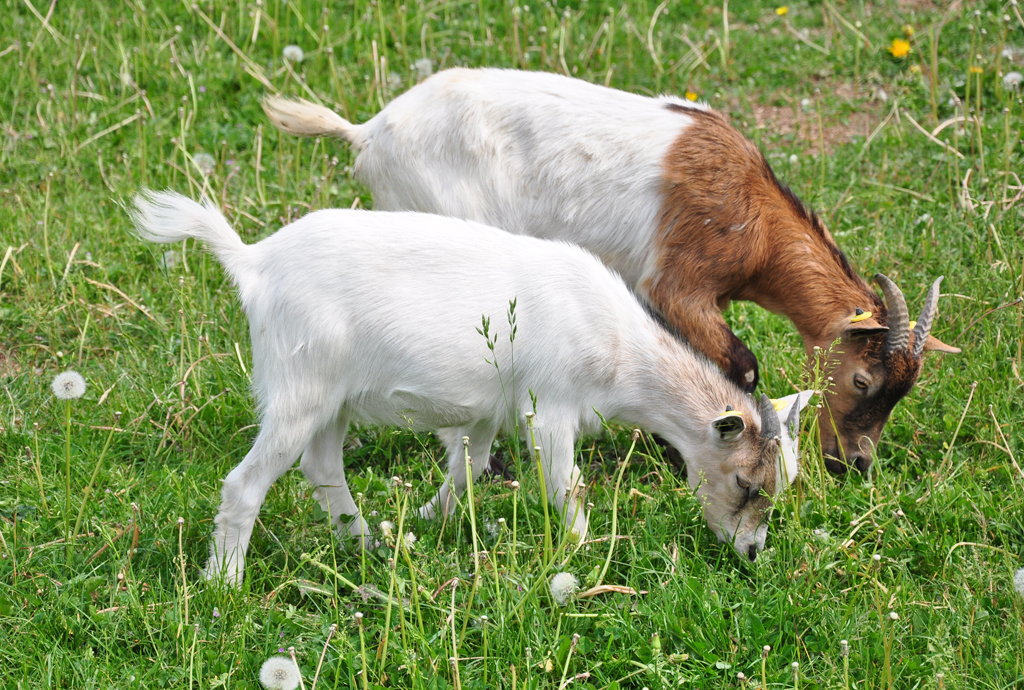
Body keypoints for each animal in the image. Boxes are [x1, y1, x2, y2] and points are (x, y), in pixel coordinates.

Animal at [134, 189, 790, 581]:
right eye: (747, 484)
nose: (753, 551)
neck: (622, 346)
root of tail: (254, 262)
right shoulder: (548, 407)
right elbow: (566, 484)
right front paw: (582, 553)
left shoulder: (486, 412)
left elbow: (467, 471)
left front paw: (427, 521)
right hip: (301, 386)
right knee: (245, 483)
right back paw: (224, 583)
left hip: (331, 399)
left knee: (322, 466)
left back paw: (367, 545)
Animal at [264, 67, 958, 470]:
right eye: (863, 380)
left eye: (903, 390)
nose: (853, 463)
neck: (753, 216)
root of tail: (369, 132)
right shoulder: (679, 283)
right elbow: (741, 363)